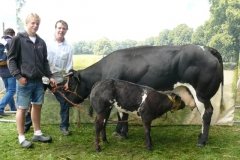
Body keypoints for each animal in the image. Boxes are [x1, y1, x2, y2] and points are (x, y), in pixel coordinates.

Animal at [62, 44, 223, 147]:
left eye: (71, 85)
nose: (66, 102)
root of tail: (207, 49)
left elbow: (122, 114)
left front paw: (121, 133)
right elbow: (122, 114)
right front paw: (121, 132)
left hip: (202, 93)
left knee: (207, 113)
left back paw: (202, 141)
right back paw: (200, 136)